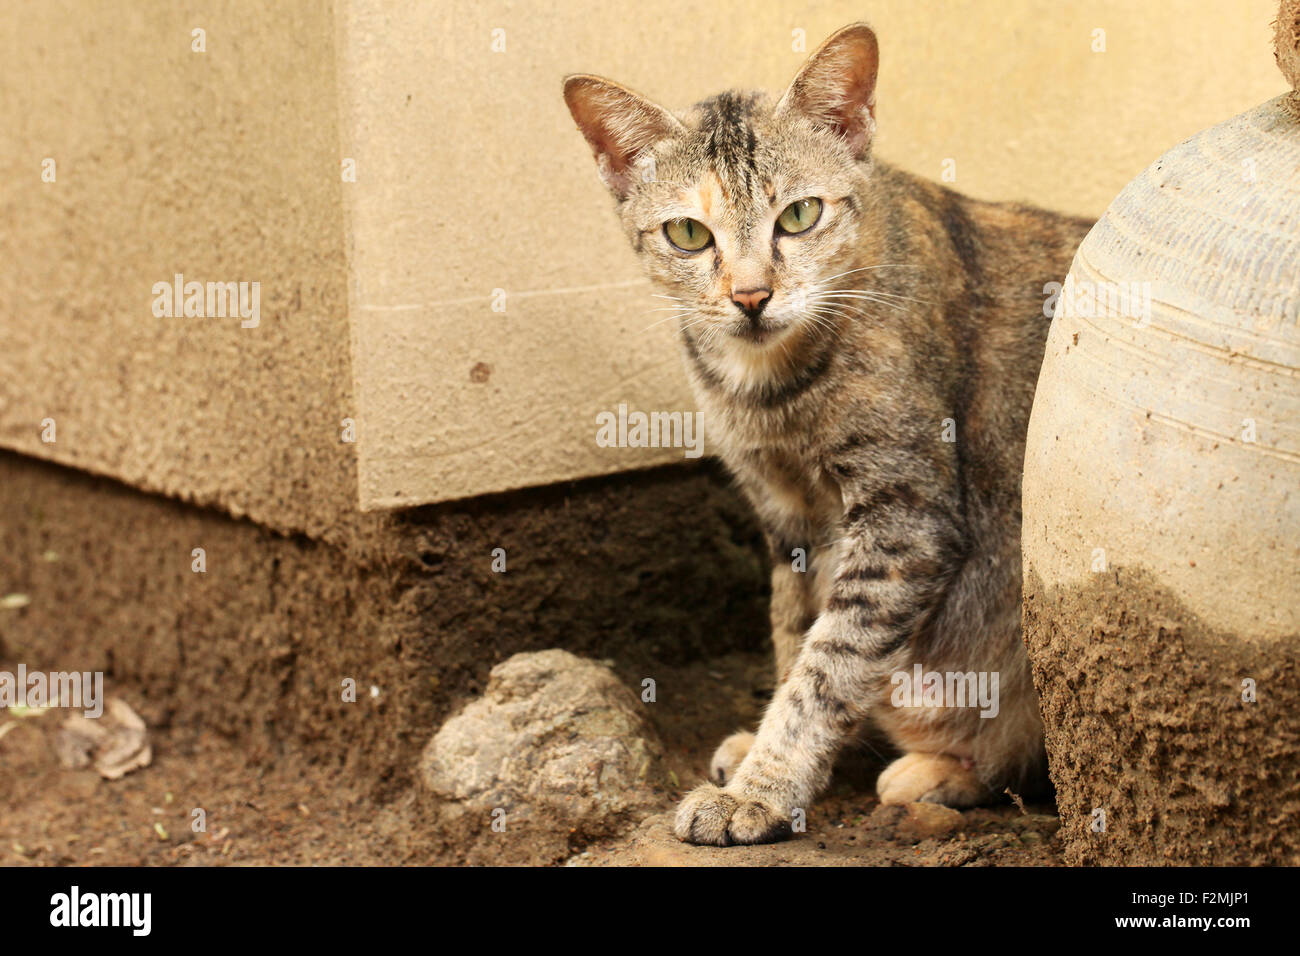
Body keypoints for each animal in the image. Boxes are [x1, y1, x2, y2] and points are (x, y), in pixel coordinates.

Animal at [564, 22, 1092, 842]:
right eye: (687, 234)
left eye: (799, 216)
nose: (751, 296)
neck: (769, 388)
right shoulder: (786, 515)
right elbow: (795, 631)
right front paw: (763, 753)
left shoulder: (905, 520)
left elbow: (830, 663)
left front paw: (764, 786)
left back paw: (940, 770)